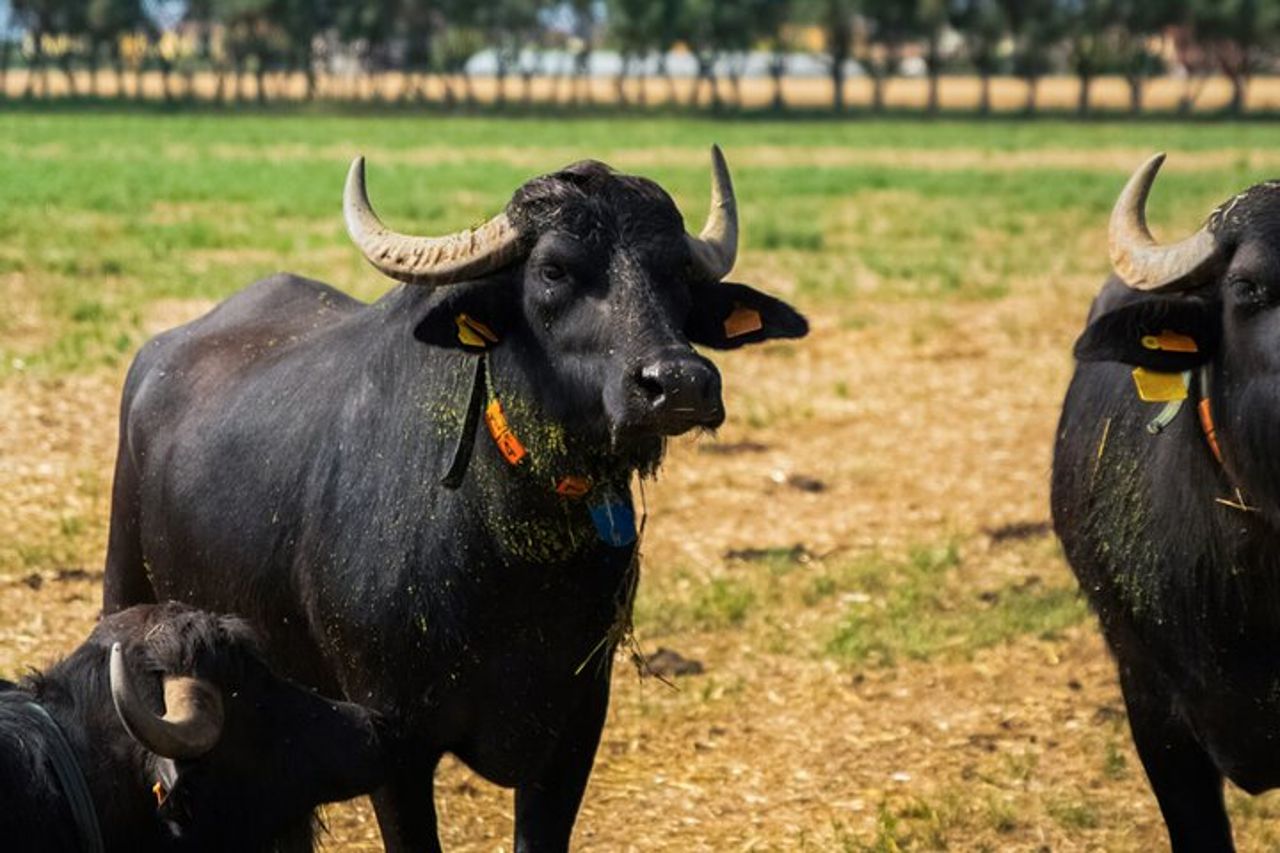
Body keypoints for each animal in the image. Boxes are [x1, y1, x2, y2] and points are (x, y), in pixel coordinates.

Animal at [102, 148, 807, 850]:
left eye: (678, 274)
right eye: (553, 269)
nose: (681, 384)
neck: (513, 564)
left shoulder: (577, 724)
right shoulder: (392, 737)